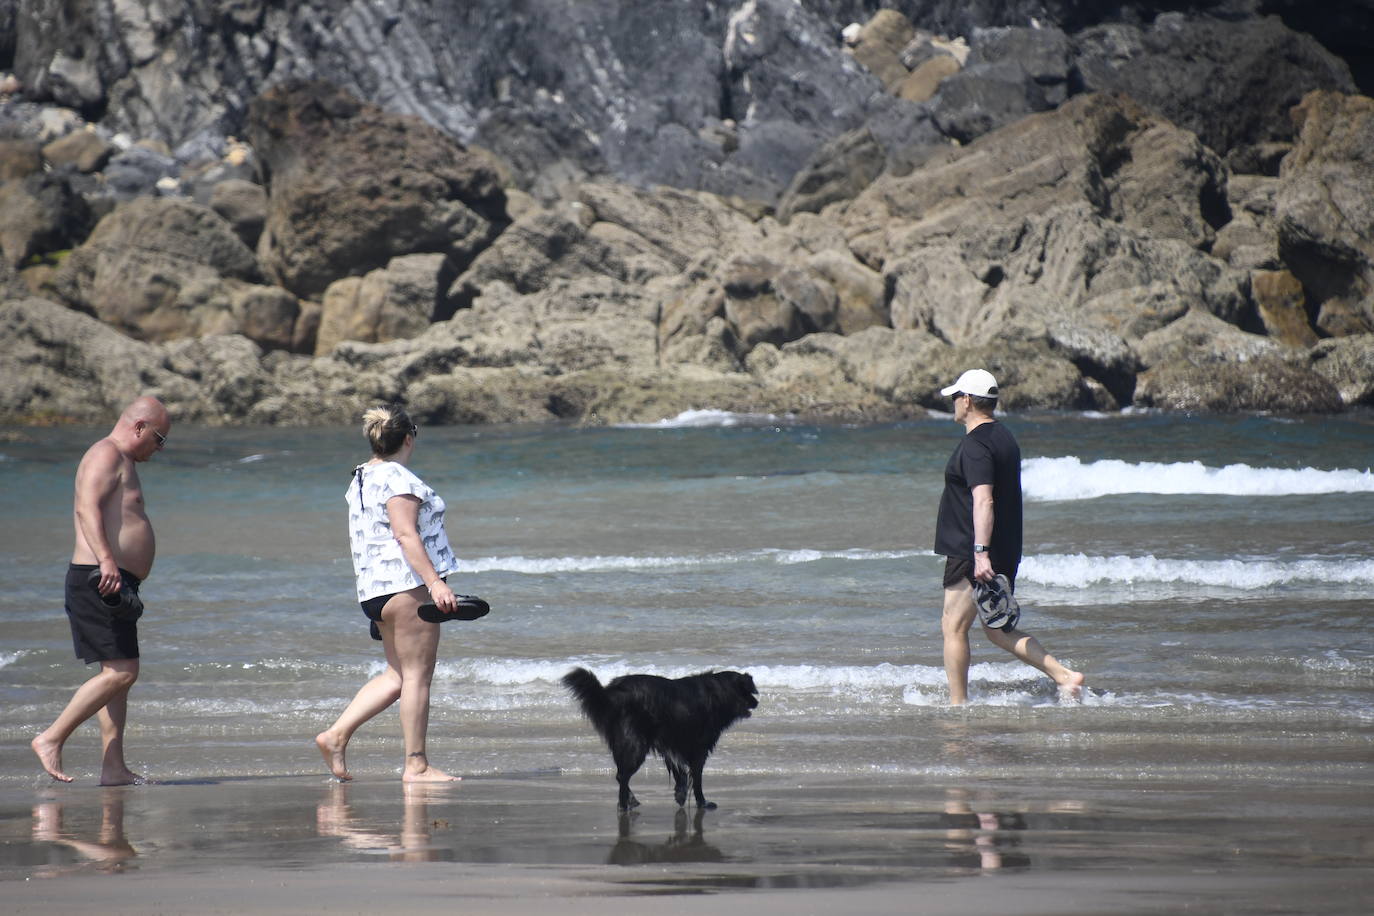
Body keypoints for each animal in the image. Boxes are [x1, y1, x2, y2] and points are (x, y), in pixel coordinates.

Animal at [566, 667, 763, 807]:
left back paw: (631, 800)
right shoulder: (698, 747)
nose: (757, 703)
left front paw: (680, 794)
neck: (720, 692)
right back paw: (624, 806)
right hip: (636, 744)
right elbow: (697, 778)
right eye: (749, 692)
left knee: (620, 775)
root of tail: (612, 692)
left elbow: (679, 771)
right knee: (622, 776)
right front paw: (702, 802)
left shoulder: (668, 742)